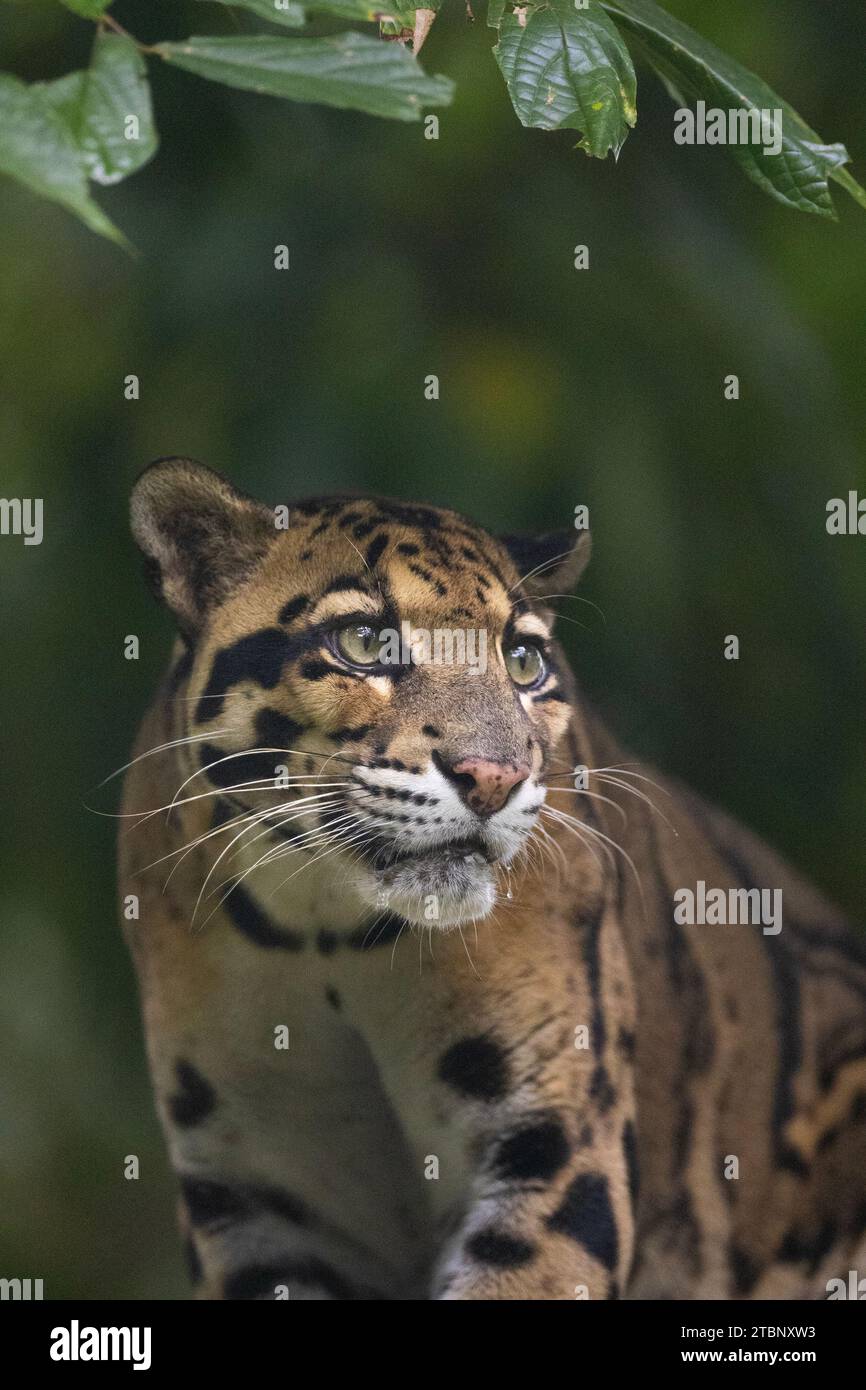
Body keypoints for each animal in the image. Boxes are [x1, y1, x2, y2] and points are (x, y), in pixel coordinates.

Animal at [119, 457, 866, 1300]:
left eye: (524, 662)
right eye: (364, 642)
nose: (495, 778)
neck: (323, 931)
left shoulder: (549, 1140)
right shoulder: (255, 1197)